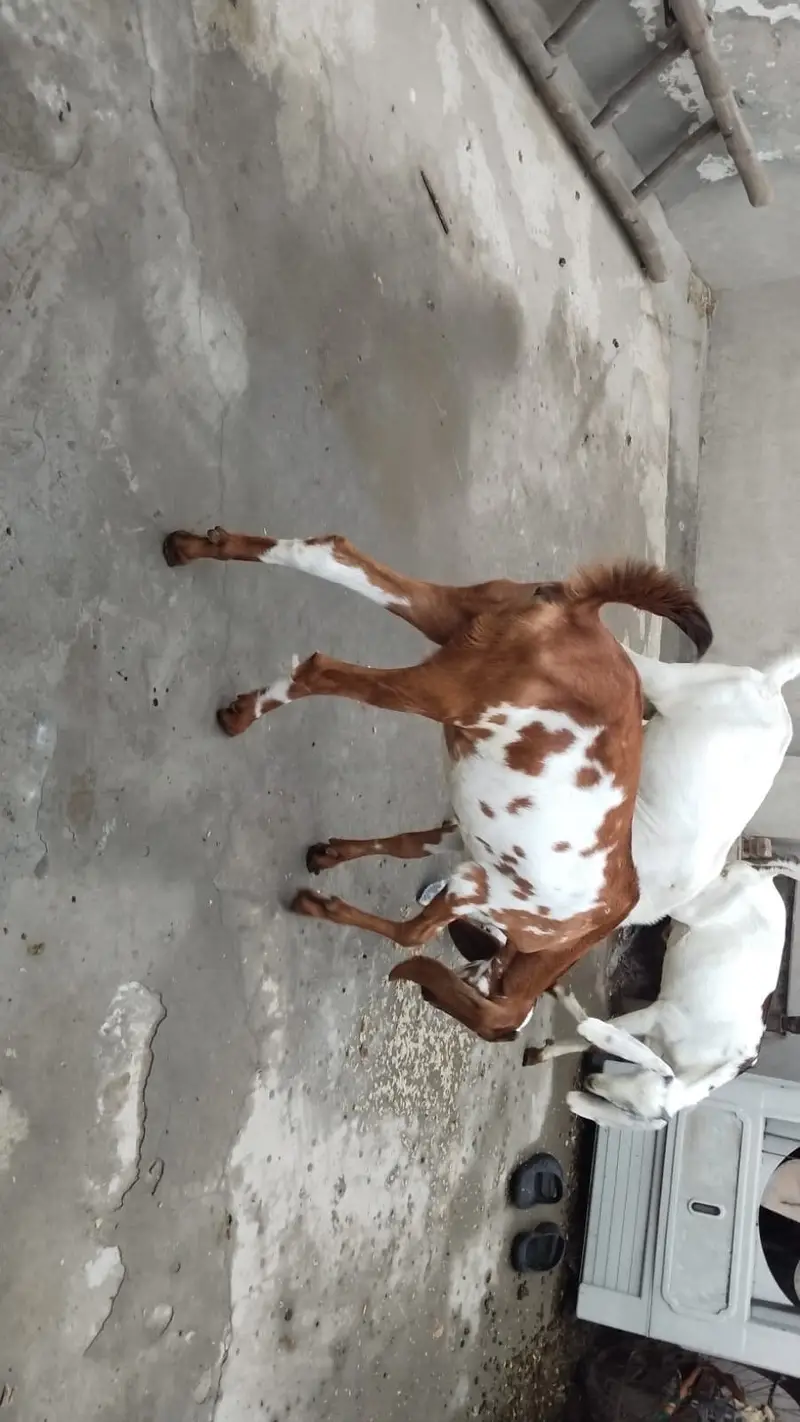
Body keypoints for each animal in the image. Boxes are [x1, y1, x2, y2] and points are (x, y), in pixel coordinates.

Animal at [163, 526, 710, 1040]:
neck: (568, 936)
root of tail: (582, 616)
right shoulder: (476, 886)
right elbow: (412, 935)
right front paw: (317, 903)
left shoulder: (460, 840)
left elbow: (405, 845)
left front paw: (329, 855)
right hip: (446, 692)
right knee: (323, 669)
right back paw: (243, 714)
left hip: (457, 617)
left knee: (328, 553)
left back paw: (190, 549)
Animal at [525, 859, 799, 1128]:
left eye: (627, 1108)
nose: (590, 1081)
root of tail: (765, 877)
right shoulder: (658, 1015)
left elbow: (594, 1037)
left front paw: (539, 1053)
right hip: (690, 903)